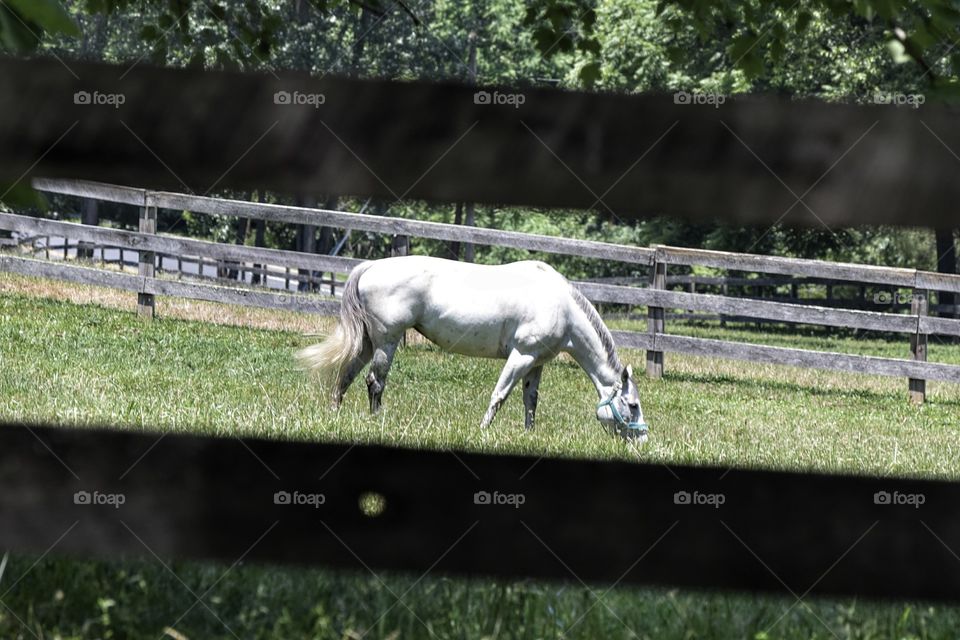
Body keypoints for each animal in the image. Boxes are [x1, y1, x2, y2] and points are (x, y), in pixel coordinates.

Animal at [296, 258, 648, 438]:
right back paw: (376, 420)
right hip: (387, 340)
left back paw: (335, 412)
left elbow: (530, 400)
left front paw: (529, 435)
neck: (561, 306)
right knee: (374, 381)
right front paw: (483, 430)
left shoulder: (536, 362)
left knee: (347, 372)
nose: (642, 438)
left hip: (369, 341)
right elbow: (500, 395)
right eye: (632, 405)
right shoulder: (521, 356)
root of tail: (369, 267)